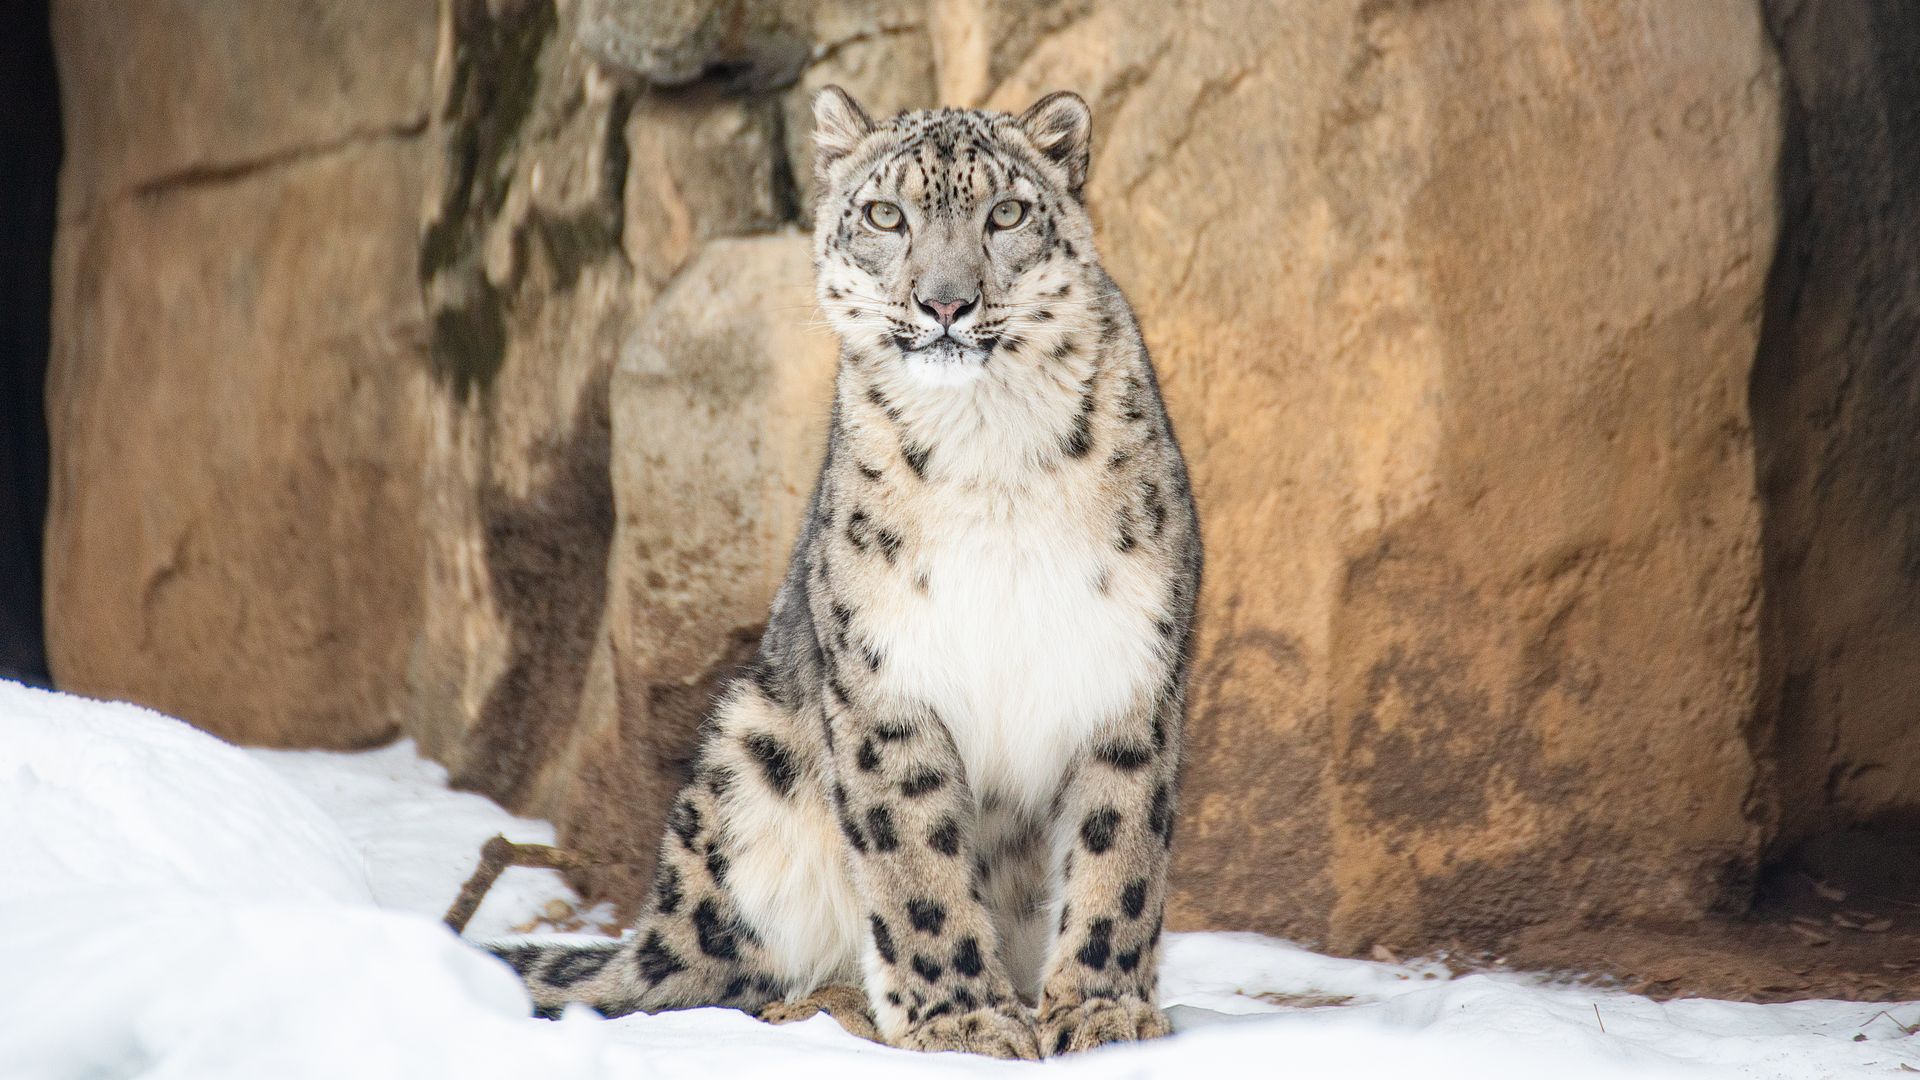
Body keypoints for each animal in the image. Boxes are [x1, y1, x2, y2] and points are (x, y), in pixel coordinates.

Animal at [479, 85, 1202, 1060]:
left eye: (1006, 214)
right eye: (886, 215)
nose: (946, 302)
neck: (994, 452)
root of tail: (655, 932)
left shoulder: (1125, 660)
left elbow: (1119, 849)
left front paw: (1101, 1010)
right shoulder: (885, 671)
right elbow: (917, 860)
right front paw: (965, 1019)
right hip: (747, 759)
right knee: (718, 980)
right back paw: (831, 1007)